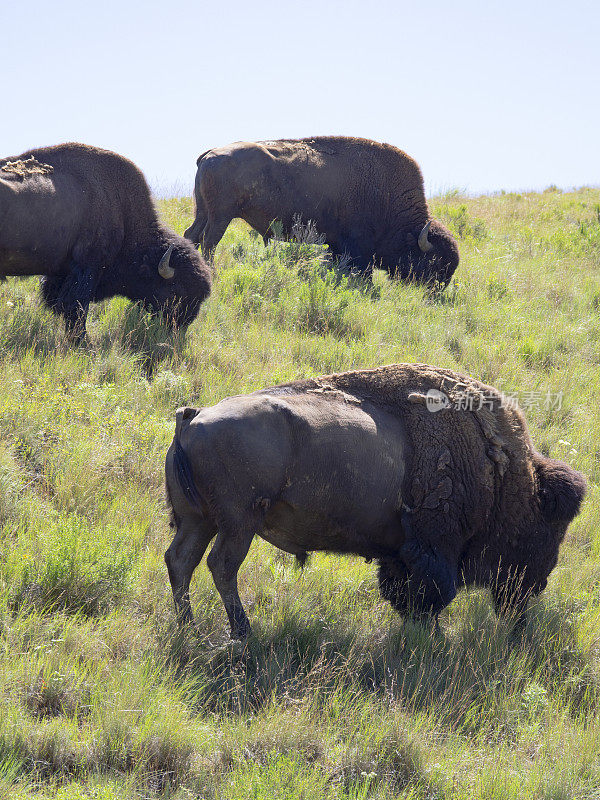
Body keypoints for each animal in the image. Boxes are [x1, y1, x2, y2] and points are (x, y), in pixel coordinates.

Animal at [0, 144, 212, 340]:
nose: (181, 325)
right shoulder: (87, 269)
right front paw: (82, 342)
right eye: (177, 290)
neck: (123, 214)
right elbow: (76, 309)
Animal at [164, 366, 584, 640]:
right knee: (221, 565)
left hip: (199, 520)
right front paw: (432, 637)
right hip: (239, 522)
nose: (538, 585)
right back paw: (242, 631)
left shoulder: (401, 551)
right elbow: (431, 593)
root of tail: (193, 416)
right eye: (549, 526)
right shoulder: (433, 547)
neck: (500, 470)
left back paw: (189, 627)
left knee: (181, 561)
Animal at [185, 136, 462, 286]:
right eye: (433, 262)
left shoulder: (337, 246)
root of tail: (210, 154)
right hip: (221, 216)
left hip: (204, 212)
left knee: (192, 236)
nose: (437, 290)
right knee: (209, 242)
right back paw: (212, 272)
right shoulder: (357, 248)